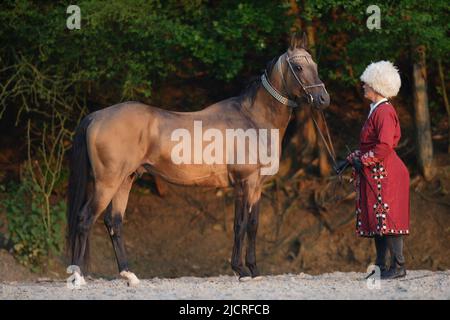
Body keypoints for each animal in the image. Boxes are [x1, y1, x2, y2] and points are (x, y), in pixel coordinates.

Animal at [67, 33, 328, 286]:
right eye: (298, 67)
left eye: (315, 64)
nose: (323, 99)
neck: (252, 119)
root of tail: (95, 116)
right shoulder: (244, 183)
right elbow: (240, 224)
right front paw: (241, 270)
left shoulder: (257, 185)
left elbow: (253, 226)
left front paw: (254, 270)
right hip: (107, 183)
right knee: (85, 219)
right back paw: (78, 277)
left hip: (125, 180)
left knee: (114, 222)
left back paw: (129, 275)